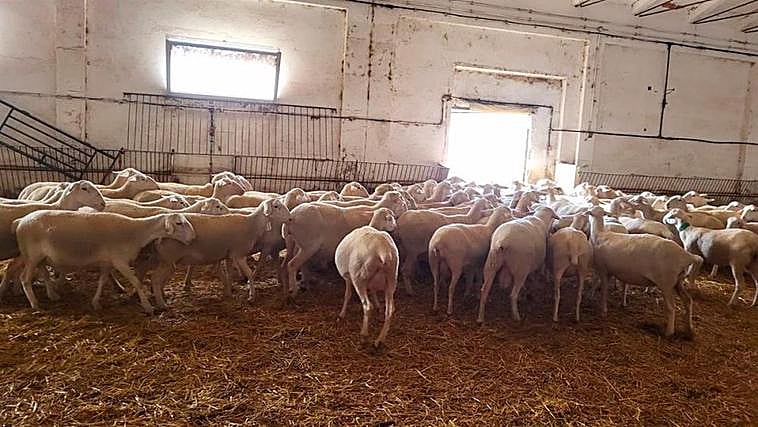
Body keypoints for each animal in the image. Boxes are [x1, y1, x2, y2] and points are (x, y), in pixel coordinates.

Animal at [13, 211, 195, 314]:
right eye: (179, 223)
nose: (192, 238)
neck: (136, 232)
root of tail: (21, 221)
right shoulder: (119, 261)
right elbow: (136, 282)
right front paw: (148, 307)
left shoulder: (107, 262)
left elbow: (102, 282)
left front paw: (95, 303)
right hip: (31, 256)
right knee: (24, 279)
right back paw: (35, 304)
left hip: (40, 258)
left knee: (44, 273)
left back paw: (53, 295)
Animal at [147, 198, 291, 307]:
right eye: (276, 206)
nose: (290, 219)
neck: (252, 224)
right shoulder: (239, 254)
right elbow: (249, 273)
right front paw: (251, 296)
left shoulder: (228, 254)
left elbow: (228, 273)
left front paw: (229, 292)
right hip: (168, 259)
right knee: (155, 279)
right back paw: (161, 304)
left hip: (168, 261)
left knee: (159, 279)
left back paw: (161, 296)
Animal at [335, 208, 399, 348]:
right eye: (390, 218)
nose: (395, 227)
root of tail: (383, 250)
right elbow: (373, 291)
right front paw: (378, 306)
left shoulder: (348, 277)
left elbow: (347, 295)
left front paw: (341, 314)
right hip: (391, 278)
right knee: (390, 310)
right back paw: (379, 340)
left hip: (359, 277)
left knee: (367, 306)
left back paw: (364, 335)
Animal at [588, 206, 701, 336]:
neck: (599, 234)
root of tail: (686, 256)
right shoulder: (611, 271)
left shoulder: (603, 269)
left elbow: (602, 288)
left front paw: (602, 310)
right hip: (678, 281)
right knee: (688, 302)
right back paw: (689, 329)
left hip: (666, 283)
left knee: (671, 307)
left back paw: (669, 332)